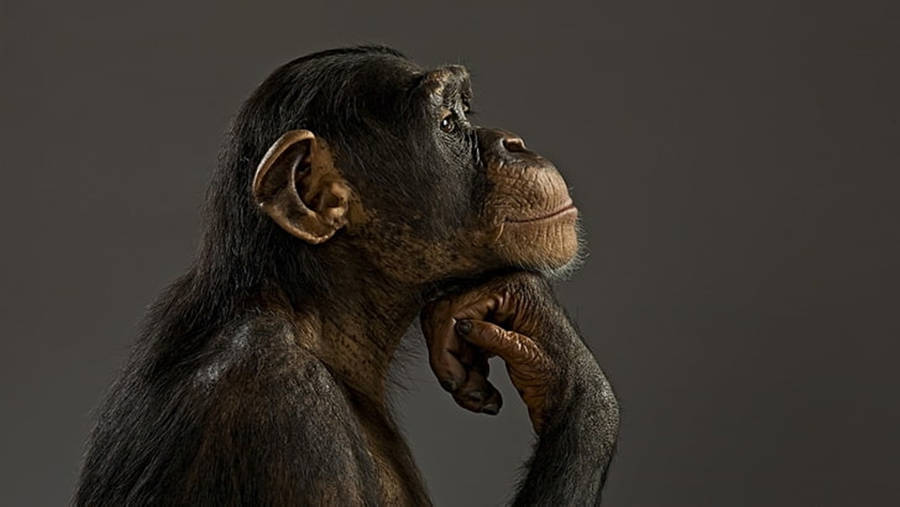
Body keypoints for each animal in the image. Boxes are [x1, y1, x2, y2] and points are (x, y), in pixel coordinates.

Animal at [75, 45, 618, 506]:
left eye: (466, 112)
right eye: (447, 123)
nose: (515, 142)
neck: (312, 314)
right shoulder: (286, 418)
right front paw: (565, 362)